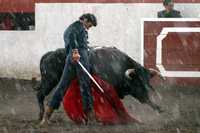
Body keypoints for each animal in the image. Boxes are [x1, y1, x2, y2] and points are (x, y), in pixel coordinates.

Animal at [35, 46, 164, 120]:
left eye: (147, 81)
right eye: (138, 82)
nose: (147, 90)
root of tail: (49, 54)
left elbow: (146, 100)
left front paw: (158, 108)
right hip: (50, 80)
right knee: (40, 94)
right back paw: (41, 115)